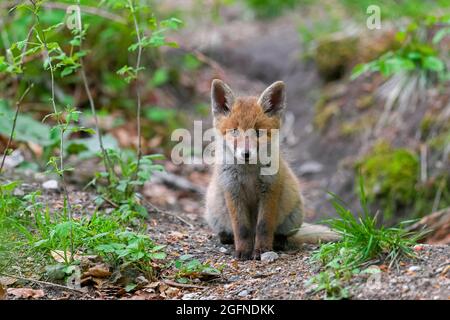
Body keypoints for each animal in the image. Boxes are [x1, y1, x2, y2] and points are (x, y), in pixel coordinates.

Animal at [204, 78, 338, 260]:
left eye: (258, 132)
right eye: (235, 131)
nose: (246, 153)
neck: (249, 173)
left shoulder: (270, 190)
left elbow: (264, 226)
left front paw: (262, 250)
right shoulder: (232, 190)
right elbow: (241, 229)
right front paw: (243, 252)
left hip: (293, 215)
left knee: (283, 234)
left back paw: (279, 242)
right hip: (214, 213)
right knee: (228, 232)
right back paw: (227, 238)